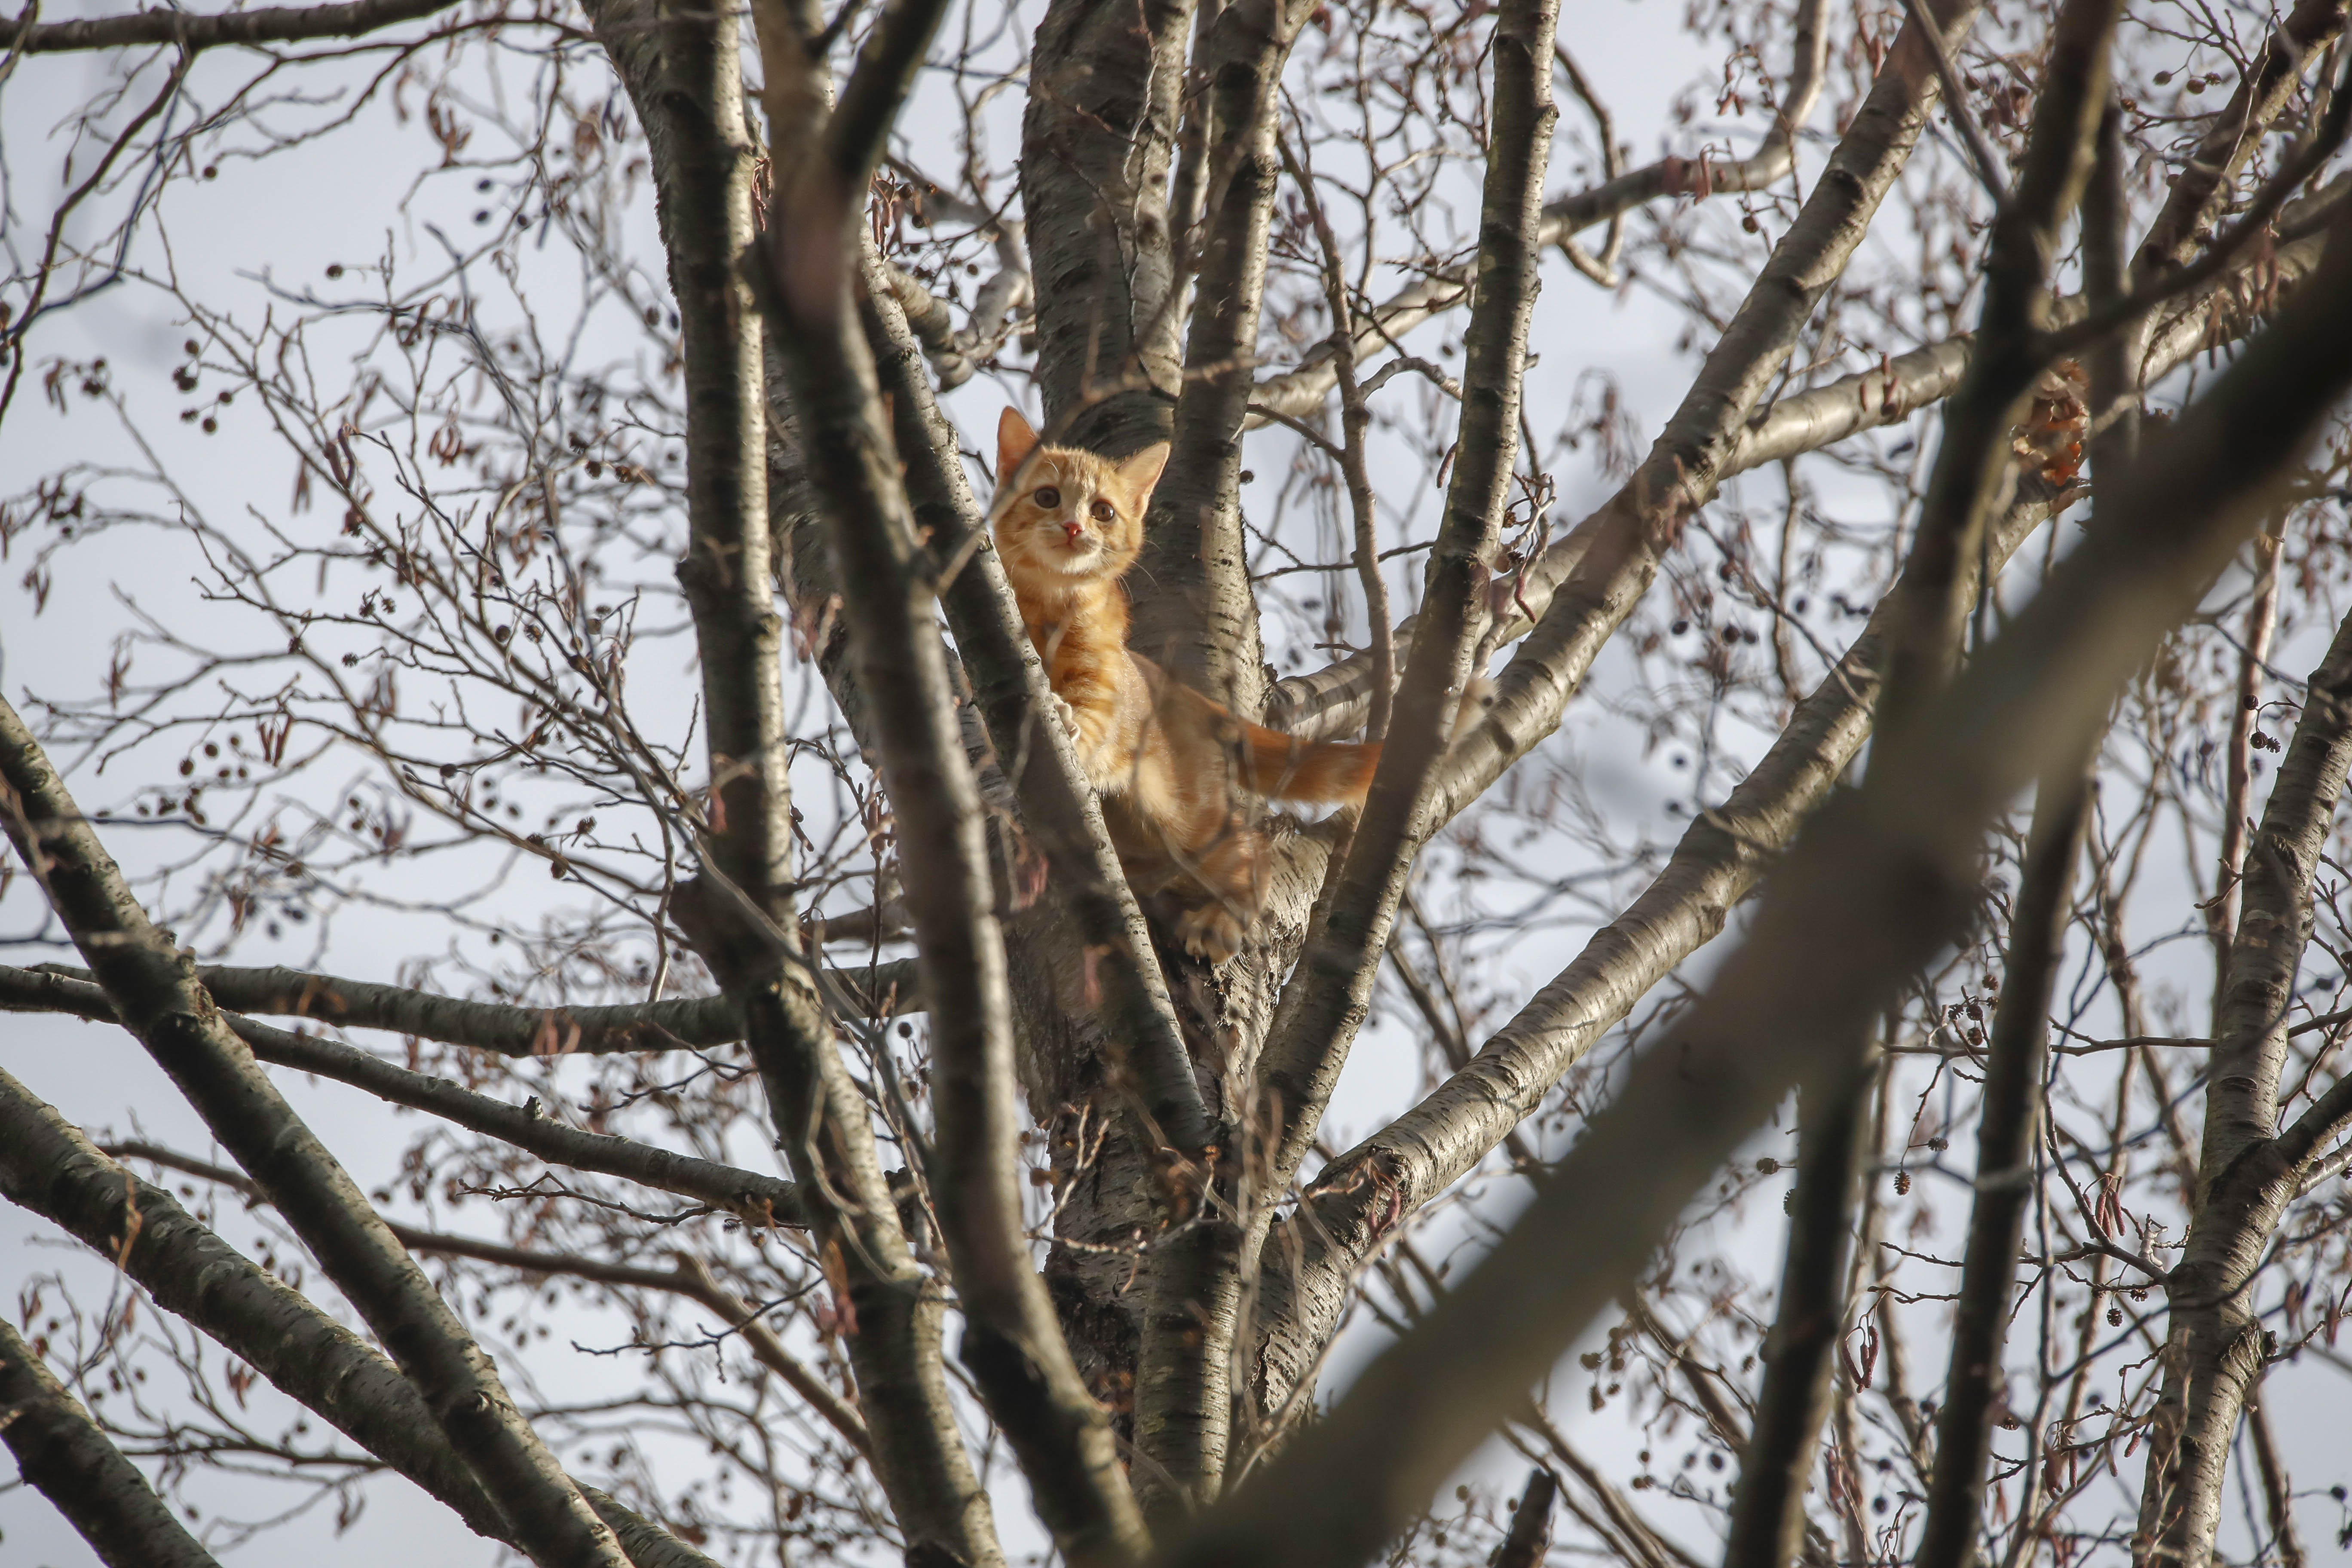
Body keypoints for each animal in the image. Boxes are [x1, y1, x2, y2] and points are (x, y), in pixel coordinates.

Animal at [988, 404, 1373, 964]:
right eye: (1047, 497)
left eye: (1103, 512)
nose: (1074, 526)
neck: (1050, 604)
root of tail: (1188, 697)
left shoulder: (1103, 680)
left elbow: (1093, 716)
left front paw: (1065, 720)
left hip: (1184, 816)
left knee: (1251, 854)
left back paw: (1221, 921)